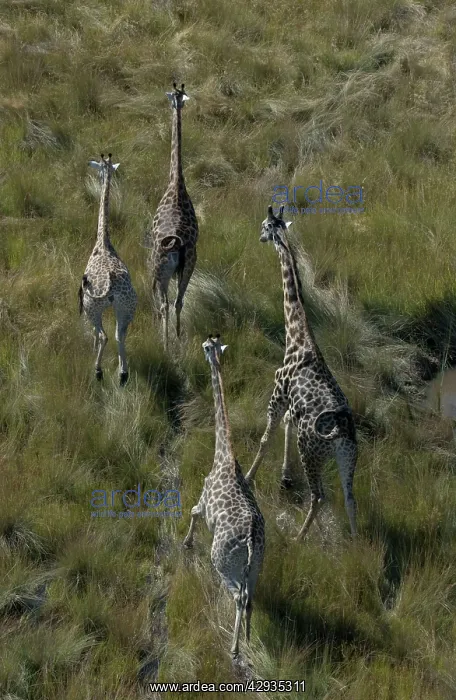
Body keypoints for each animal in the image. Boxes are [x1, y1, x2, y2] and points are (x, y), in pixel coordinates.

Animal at [78, 153, 137, 386]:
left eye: (98, 167)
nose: (88, 164)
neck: (103, 241)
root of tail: (111, 285)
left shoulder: (86, 305)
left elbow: (96, 335)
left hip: (92, 306)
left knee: (104, 335)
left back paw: (98, 371)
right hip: (127, 308)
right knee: (121, 335)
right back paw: (123, 374)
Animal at [183, 335, 265, 659]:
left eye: (208, 347)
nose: (201, 347)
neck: (223, 453)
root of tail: (252, 542)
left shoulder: (204, 501)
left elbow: (192, 512)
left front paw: (186, 543)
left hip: (223, 563)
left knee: (238, 598)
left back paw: (234, 648)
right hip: (255, 569)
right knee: (250, 599)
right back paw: (249, 638)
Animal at [244, 206, 357, 539]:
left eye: (264, 225)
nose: (259, 237)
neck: (296, 335)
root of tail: (341, 431)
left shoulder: (277, 395)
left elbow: (266, 437)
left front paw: (248, 476)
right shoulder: (291, 408)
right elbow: (285, 426)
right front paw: (284, 476)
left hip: (312, 451)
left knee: (318, 495)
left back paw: (298, 537)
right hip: (348, 458)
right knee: (350, 498)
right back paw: (356, 542)